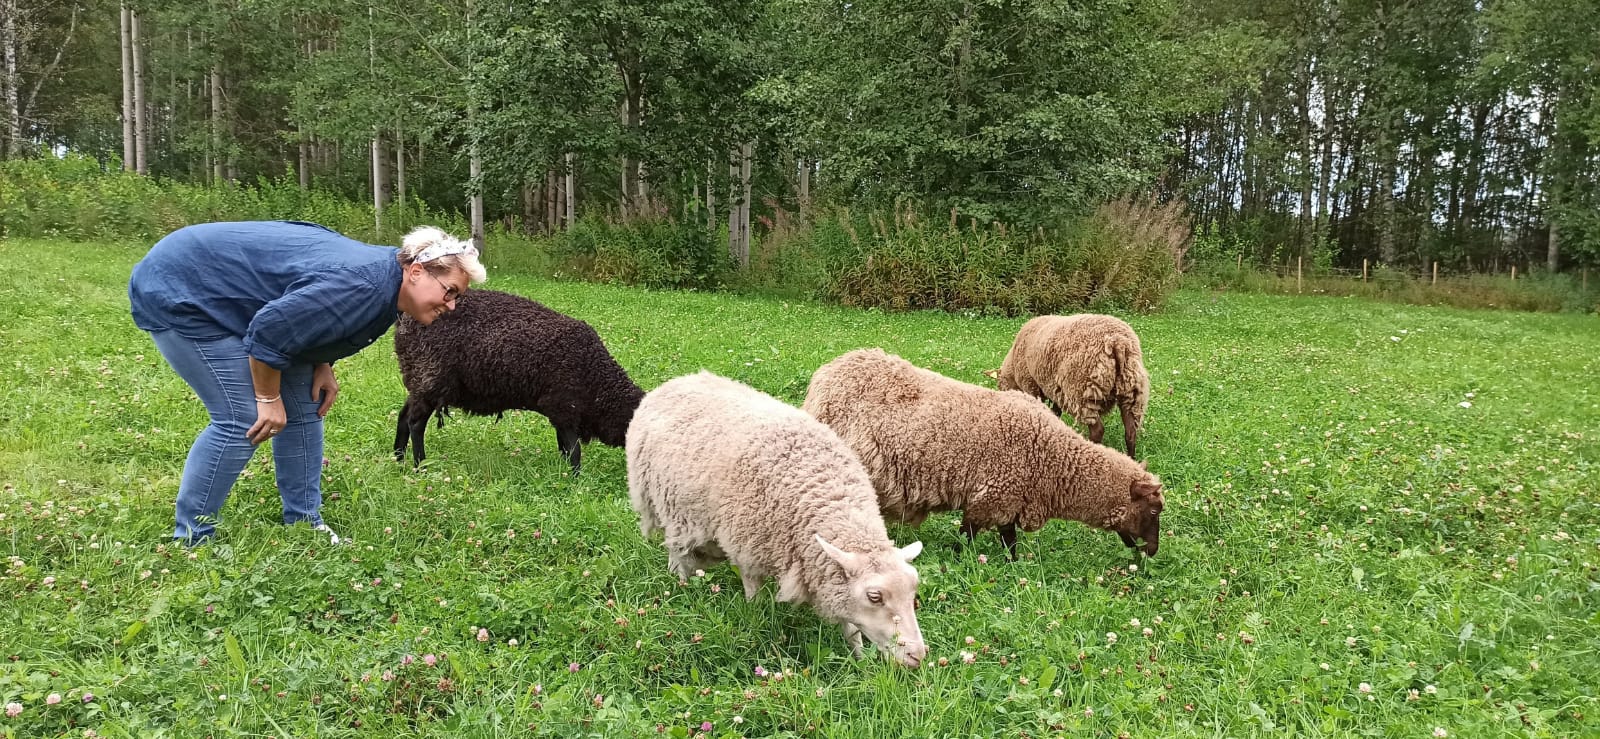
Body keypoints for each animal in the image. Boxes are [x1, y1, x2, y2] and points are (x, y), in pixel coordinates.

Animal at [392, 287, 643, 473]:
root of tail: (403, 320)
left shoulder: (560, 414)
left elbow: (564, 447)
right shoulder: (564, 407)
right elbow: (574, 451)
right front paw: (576, 478)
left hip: (417, 379)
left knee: (403, 416)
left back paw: (399, 459)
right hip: (430, 378)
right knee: (416, 423)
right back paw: (420, 466)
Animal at [620, 372, 928, 665]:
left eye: (913, 588)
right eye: (875, 597)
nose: (918, 655)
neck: (828, 495)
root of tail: (675, 382)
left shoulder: (828, 576)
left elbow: (852, 628)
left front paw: (860, 661)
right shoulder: (747, 548)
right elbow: (753, 594)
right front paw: (756, 618)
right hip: (668, 507)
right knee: (677, 553)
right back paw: (681, 588)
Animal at [985, 315, 1152, 457]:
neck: (1013, 364)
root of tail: (1118, 342)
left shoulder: (1031, 385)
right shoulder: (1055, 389)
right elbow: (1055, 411)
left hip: (1083, 391)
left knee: (1098, 430)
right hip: (1132, 391)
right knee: (1130, 432)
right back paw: (1132, 459)